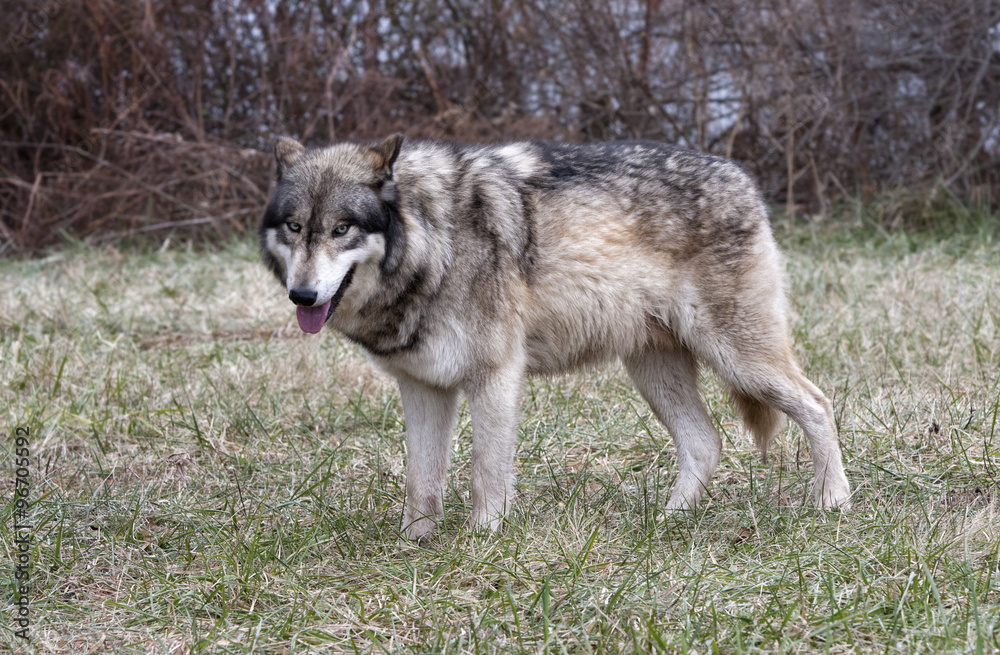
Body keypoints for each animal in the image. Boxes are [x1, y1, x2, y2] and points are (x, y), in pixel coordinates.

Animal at [259, 134, 851, 540]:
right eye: (295, 227)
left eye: (342, 229)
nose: (303, 296)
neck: (435, 244)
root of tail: (743, 178)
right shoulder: (425, 387)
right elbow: (421, 478)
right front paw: (414, 544)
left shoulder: (494, 376)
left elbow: (485, 472)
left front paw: (482, 541)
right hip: (655, 370)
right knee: (706, 442)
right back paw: (667, 520)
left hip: (737, 357)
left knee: (818, 404)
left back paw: (833, 501)